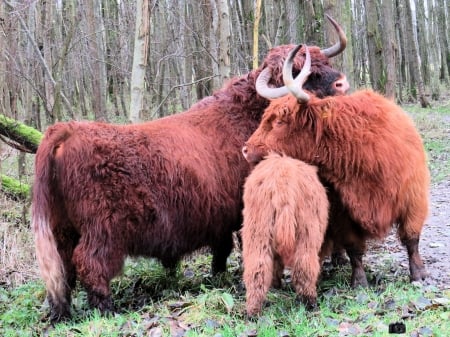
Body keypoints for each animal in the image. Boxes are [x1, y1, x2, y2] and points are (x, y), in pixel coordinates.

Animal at [241, 43, 430, 288]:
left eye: (280, 121)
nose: (246, 149)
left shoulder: (412, 198)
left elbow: (411, 238)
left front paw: (419, 273)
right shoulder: (343, 212)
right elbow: (354, 248)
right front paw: (359, 281)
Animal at [241, 152, 328, 316]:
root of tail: (282, 182)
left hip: (258, 230)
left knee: (258, 268)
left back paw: (253, 311)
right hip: (307, 231)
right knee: (304, 265)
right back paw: (310, 302)